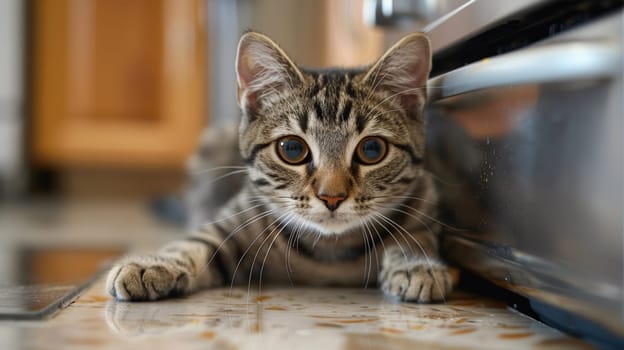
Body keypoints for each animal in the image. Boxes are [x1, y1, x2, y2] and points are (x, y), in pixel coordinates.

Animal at [105, 31, 450, 302]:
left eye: (372, 149)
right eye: (293, 149)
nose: (332, 197)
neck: (328, 251)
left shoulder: (426, 196)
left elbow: (416, 235)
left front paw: (416, 264)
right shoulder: (233, 223)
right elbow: (193, 242)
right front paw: (152, 263)